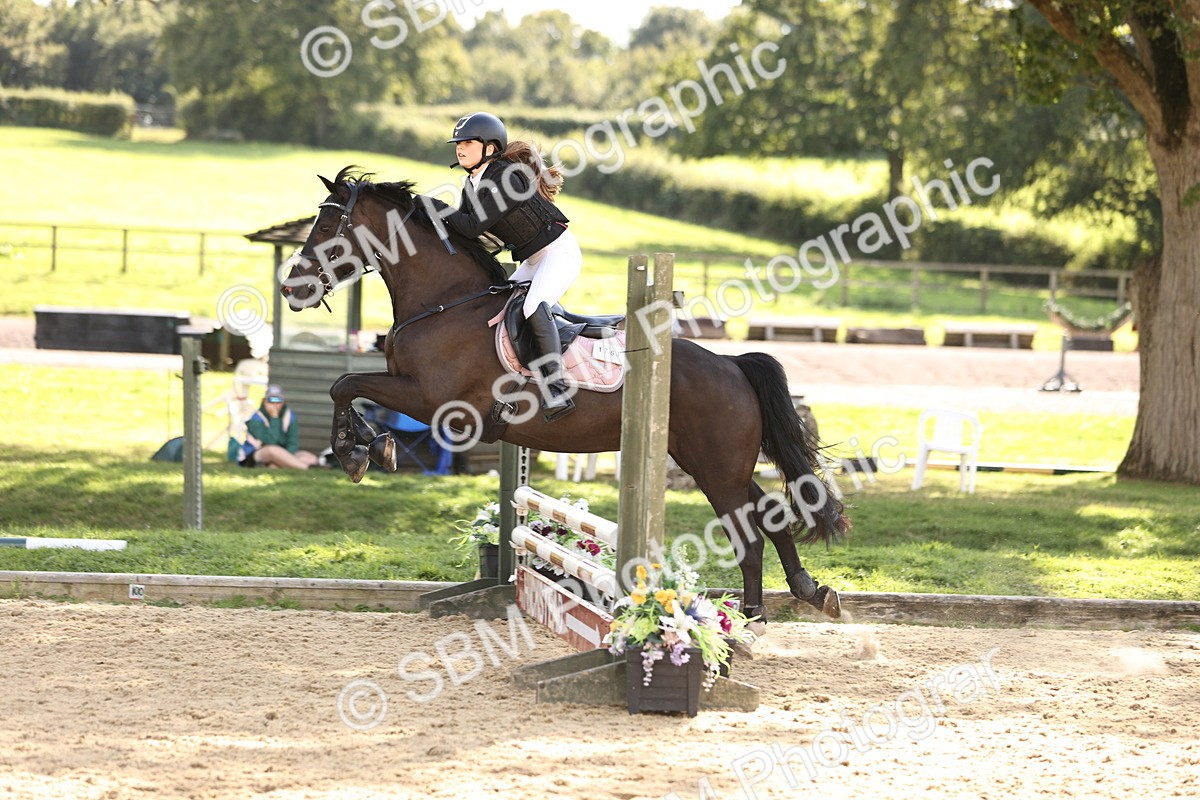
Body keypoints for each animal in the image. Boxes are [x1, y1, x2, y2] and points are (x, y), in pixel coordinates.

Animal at [281, 166, 850, 624]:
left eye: (327, 228)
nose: (291, 289)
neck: (444, 303)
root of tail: (731, 365)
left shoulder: (438, 405)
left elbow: (345, 384)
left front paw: (359, 452)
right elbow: (346, 387)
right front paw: (366, 446)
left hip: (717, 467)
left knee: (749, 534)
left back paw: (754, 618)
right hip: (713, 460)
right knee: (771, 513)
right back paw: (807, 591)